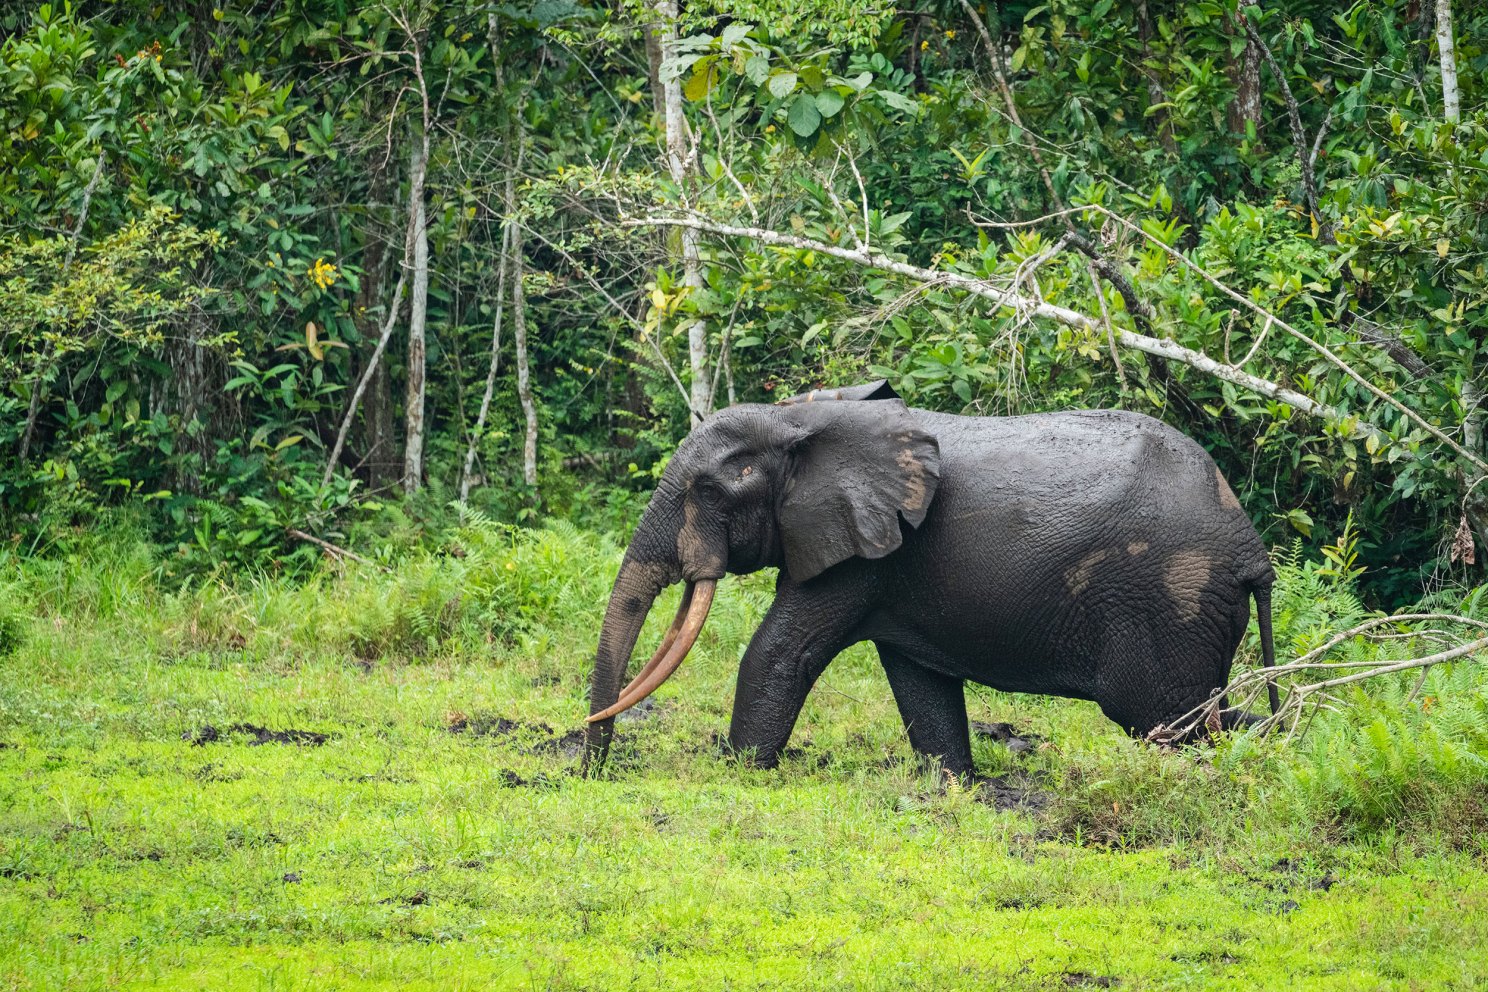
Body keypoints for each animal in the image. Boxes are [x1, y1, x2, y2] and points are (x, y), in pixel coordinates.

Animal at [577, 380, 1267, 773]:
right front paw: (956, 784)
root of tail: (1251, 550)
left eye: (709, 489)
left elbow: (779, 653)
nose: (590, 769)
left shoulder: (863, 551)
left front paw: (742, 774)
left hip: (1169, 598)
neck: (805, 419)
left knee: (1165, 718)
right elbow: (918, 677)